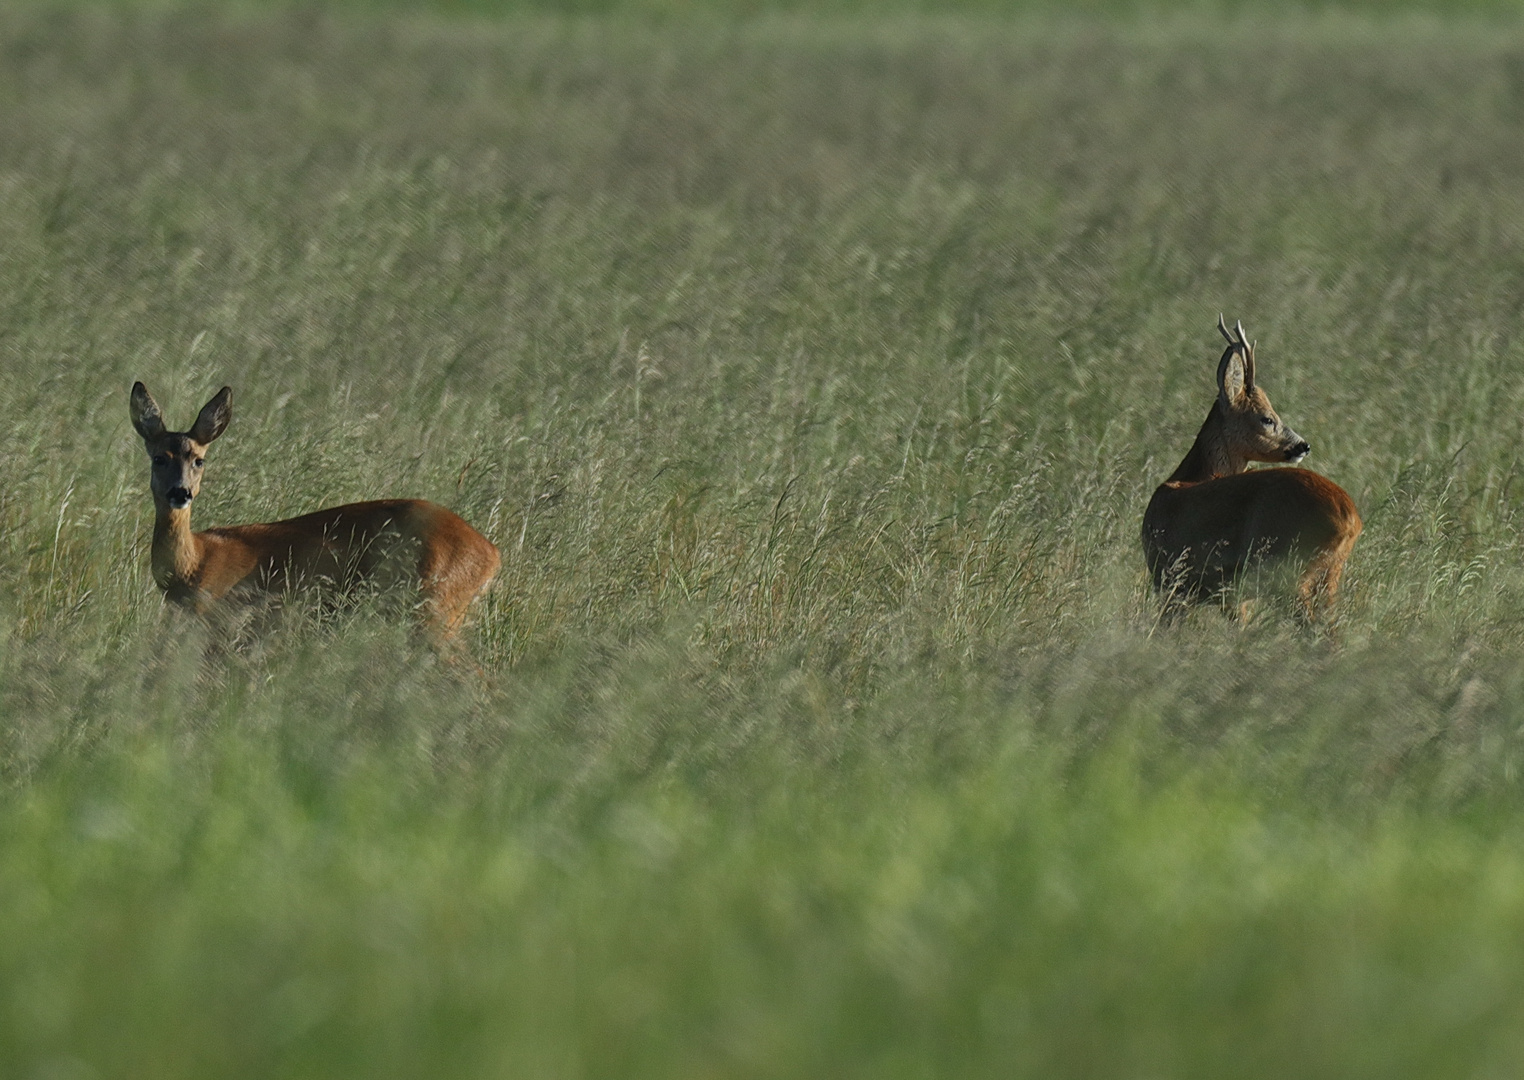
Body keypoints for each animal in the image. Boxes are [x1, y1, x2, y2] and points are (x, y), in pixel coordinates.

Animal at [129, 385, 499, 645]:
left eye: (199, 460)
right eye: (159, 458)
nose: (181, 492)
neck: (194, 564)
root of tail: (491, 553)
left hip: (435, 610)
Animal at [1139, 318, 1365, 624]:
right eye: (1267, 418)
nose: (1303, 446)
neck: (1187, 478)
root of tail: (1350, 518)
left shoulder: (1171, 579)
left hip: (1285, 570)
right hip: (1330, 574)